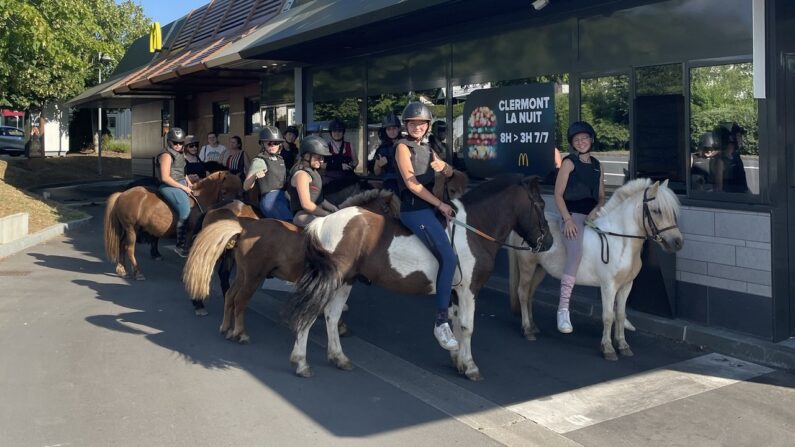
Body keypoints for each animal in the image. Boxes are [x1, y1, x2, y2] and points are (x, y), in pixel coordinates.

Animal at [104, 172, 244, 280]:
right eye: (224, 191)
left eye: (240, 193)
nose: (233, 212)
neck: (201, 199)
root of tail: (122, 194)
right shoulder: (191, 234)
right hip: (132, 229)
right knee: (129, 248)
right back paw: (137, 273)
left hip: (128, 229)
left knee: (121, 245)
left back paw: (122, 269)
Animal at [286, 175, 552, 382]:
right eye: (539, 204)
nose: (548, 242)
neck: (473, 228)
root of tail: (321, 222)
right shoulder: (468, 290)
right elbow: (467, 327)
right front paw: (470, 366)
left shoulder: (456, 291)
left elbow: (457, 323)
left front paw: (457, 360)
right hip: (331, 280)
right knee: (309, 315)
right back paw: (301, 363)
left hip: (346, 280)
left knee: (331, 317)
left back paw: (339, 358)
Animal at [510, 178, 684, 360]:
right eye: (657, 210)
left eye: (672, 212)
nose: (678, 242)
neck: (619, 240)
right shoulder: (608, 286)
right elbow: (608, 316)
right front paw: (608, 348)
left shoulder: (626, 286)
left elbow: (620, 314)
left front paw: (623, 345)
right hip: (527, 267)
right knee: (523, 293)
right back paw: (528, 330)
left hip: (539, 270)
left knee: (530, 294)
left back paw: (533, 326)